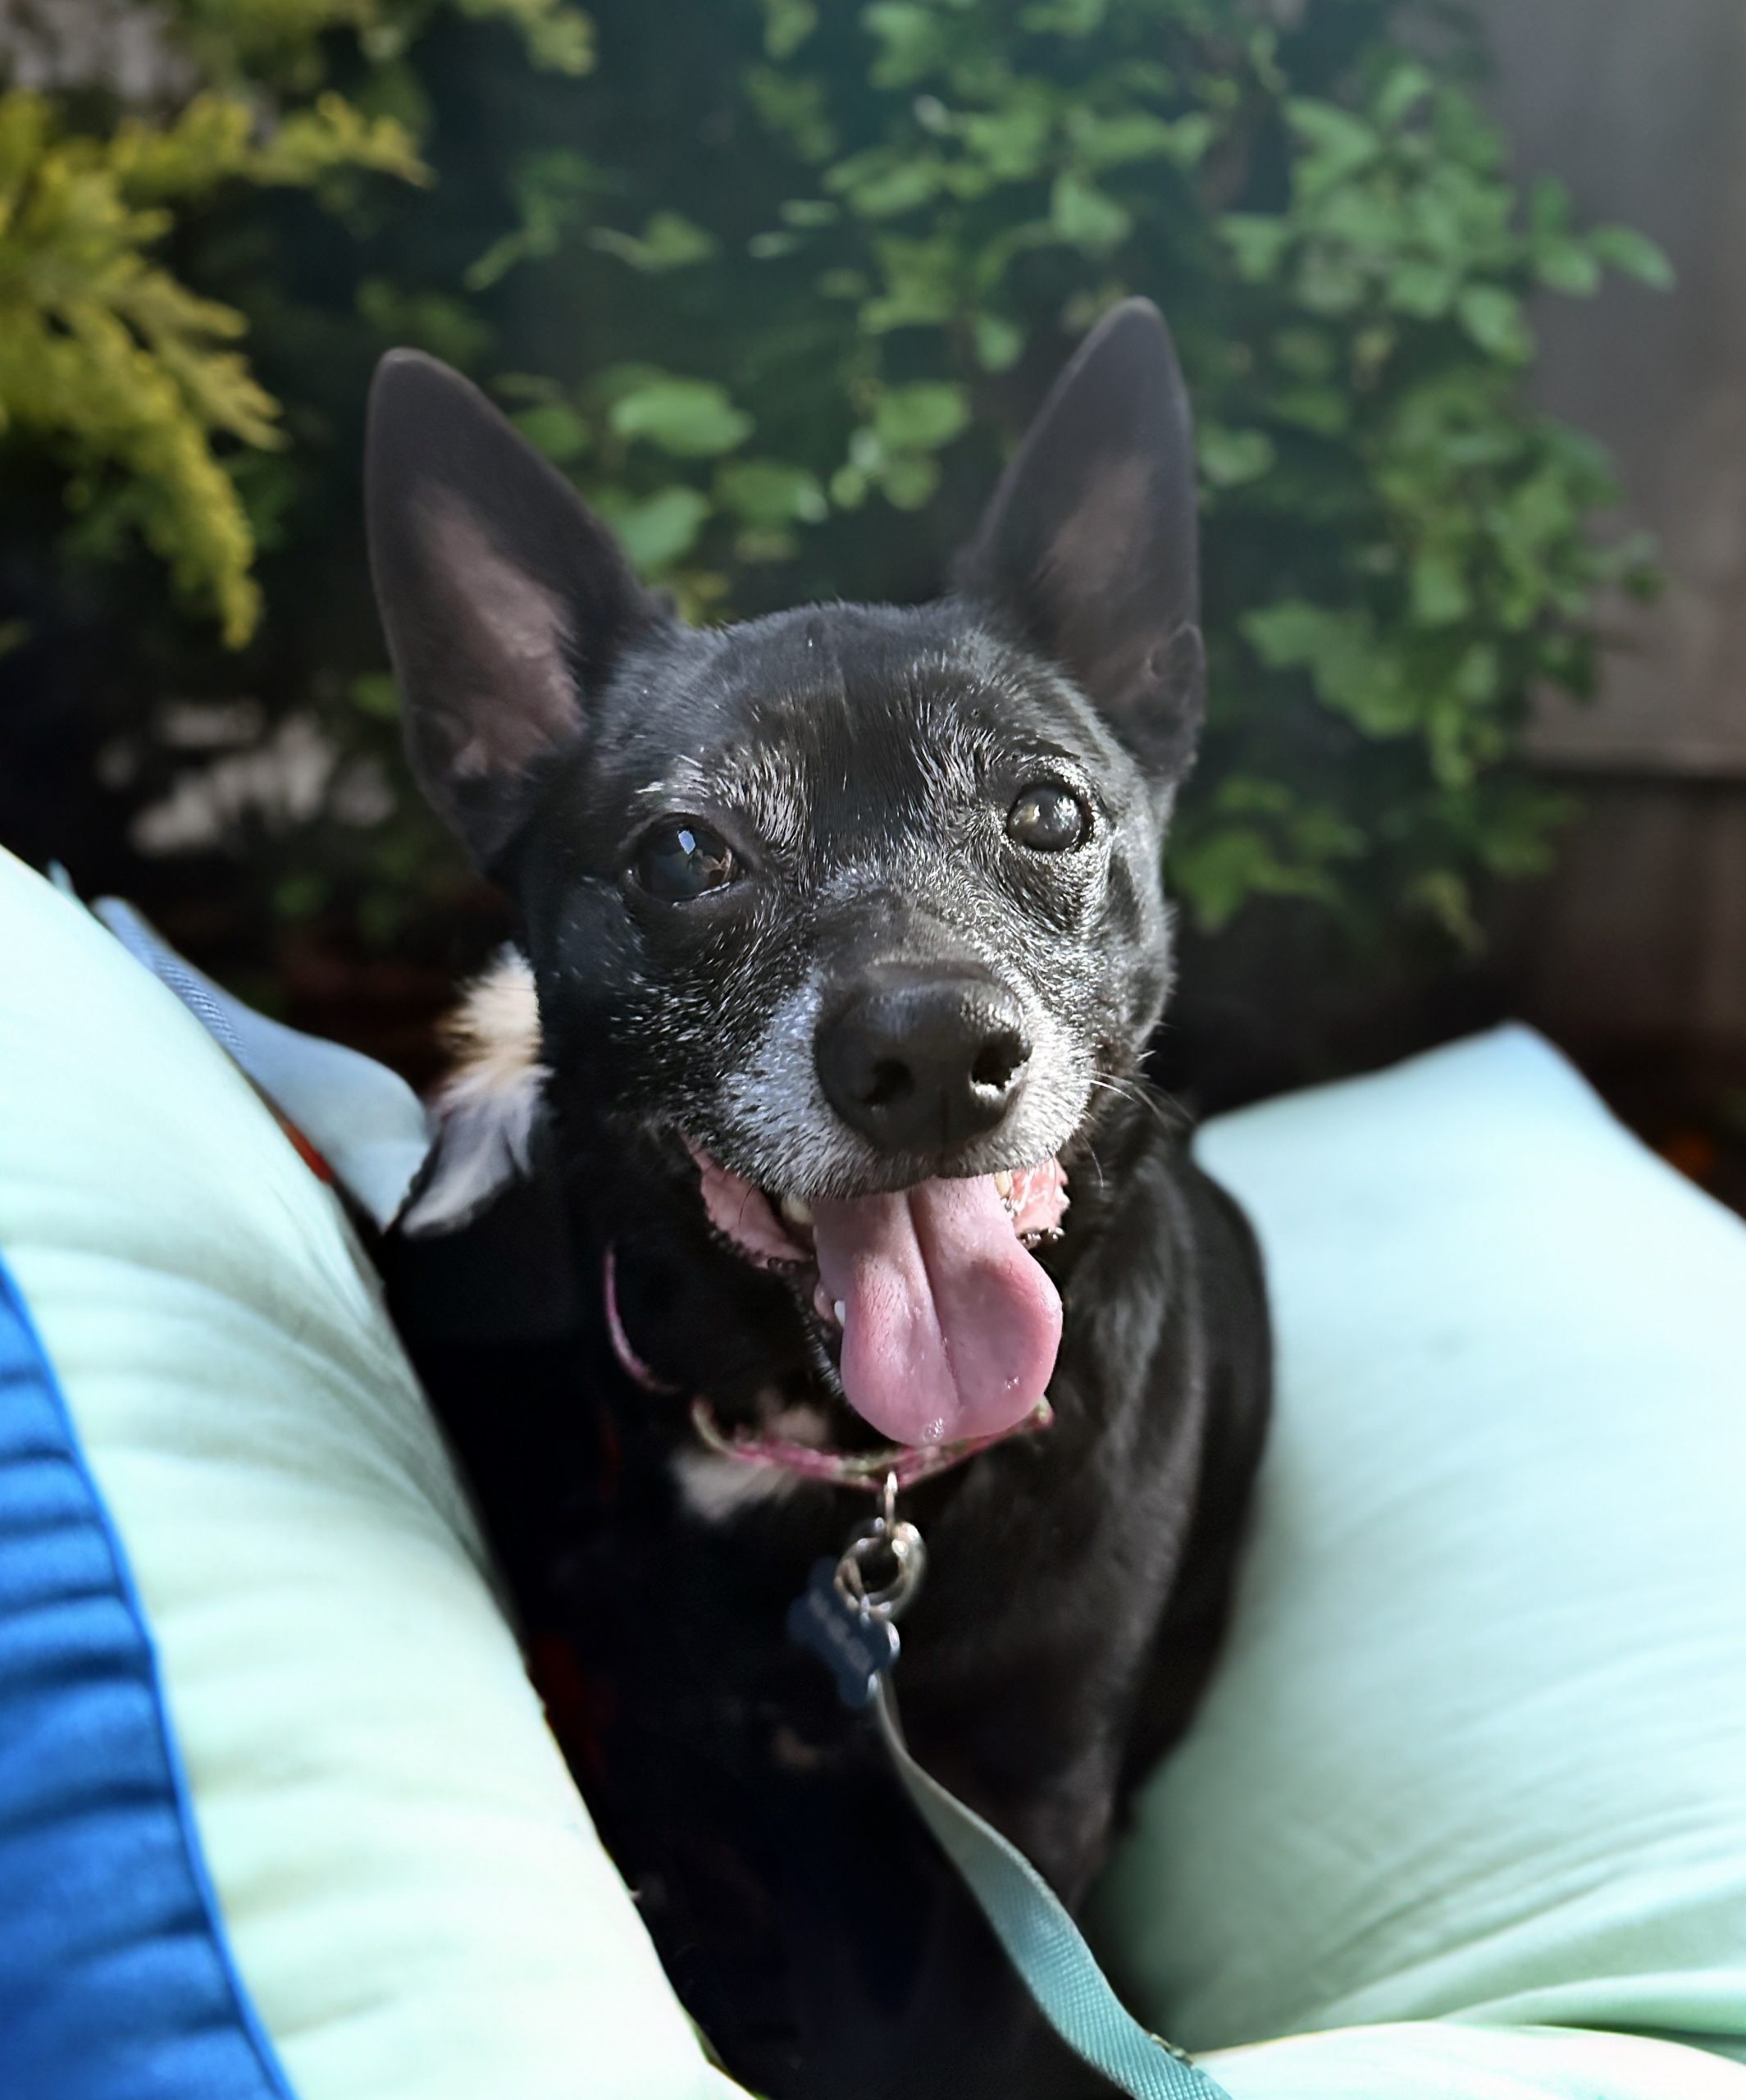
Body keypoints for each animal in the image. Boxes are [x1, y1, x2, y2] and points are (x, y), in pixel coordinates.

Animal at [365, 300, 1267, 2100]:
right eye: (681, 854)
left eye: (1047, 810)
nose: (929, 1050)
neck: (861, 1477)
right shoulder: (751, 1774)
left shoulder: (1031, 1798)